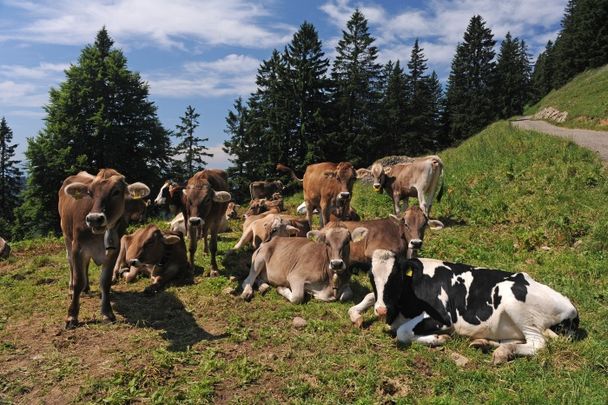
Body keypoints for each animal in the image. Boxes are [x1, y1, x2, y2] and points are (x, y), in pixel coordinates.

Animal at [58, 168, 151, 328]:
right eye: (90, 193)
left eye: (116, 192)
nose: (94, 219)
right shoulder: (78, 247)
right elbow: (78, 280)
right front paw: (72, 316)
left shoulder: (113, 250)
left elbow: (105, 282)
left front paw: (107, 313)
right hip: (66, 235)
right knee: (70, 262)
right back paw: (71, 289)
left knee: (86, 264)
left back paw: (87, 288)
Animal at [240, 221, 368, 304]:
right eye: (327, 243)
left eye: (347, 242)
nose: (336, 264)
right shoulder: (295, 276)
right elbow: (297, 297)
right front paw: (281, 288)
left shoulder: (346, 284)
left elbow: (347, 295)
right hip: (259, 259)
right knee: (248, 279)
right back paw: (247, 292)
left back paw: (263, 286)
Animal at [354, 256, 580, 362]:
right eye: (371, 277)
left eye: (396, 276)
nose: (381, 310)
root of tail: (570, 305)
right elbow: (369, 296)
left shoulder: (443, 319)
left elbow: (402, 332)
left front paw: (439, 339)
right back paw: (486, 344)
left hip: (515, 302)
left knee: (537, 344)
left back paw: (501, 352)